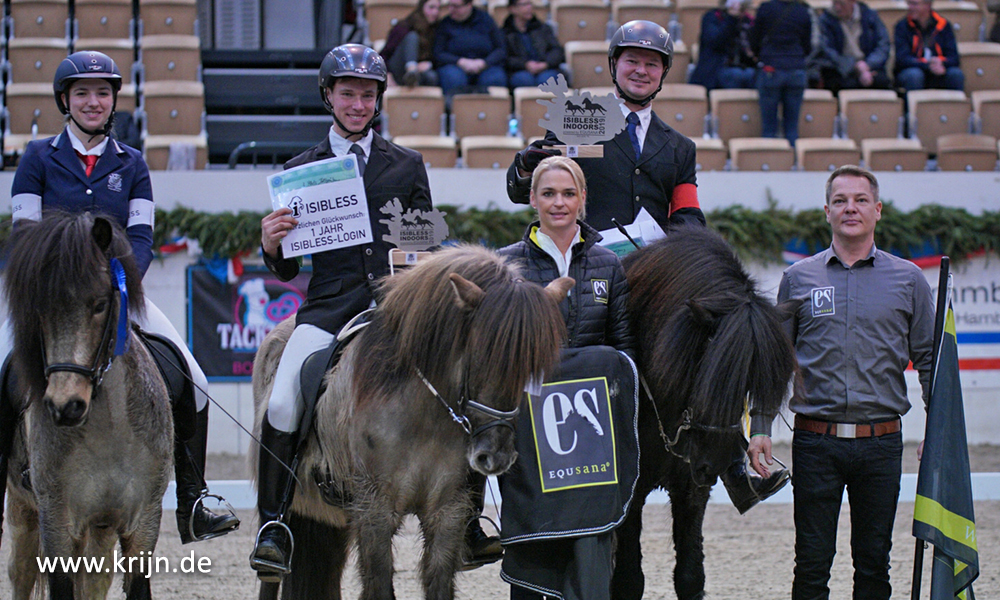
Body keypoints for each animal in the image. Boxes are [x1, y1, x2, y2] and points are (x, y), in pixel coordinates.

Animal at [1, 213, 173, 596]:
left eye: (99, 304)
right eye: (39, 310)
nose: (66, 406)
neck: (109, 429)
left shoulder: (144, 522)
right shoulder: (57, 523)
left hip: (101, 527)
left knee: (95, 578)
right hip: (23, 510)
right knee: (20, 572)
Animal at [249, 245, 572, 600]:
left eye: (531, 366)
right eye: (481, 355)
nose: (495, 456)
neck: (425, 417)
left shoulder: (447, 512)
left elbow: (439, 584)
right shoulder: (375, 511)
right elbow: (379, 585)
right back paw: (271, 547)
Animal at [608, 226, 796, 600]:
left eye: (752, 381)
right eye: (705, 365)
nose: (717, 464)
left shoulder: (692, 487)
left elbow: (690, 576)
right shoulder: (629, 493)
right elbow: (628, 580)